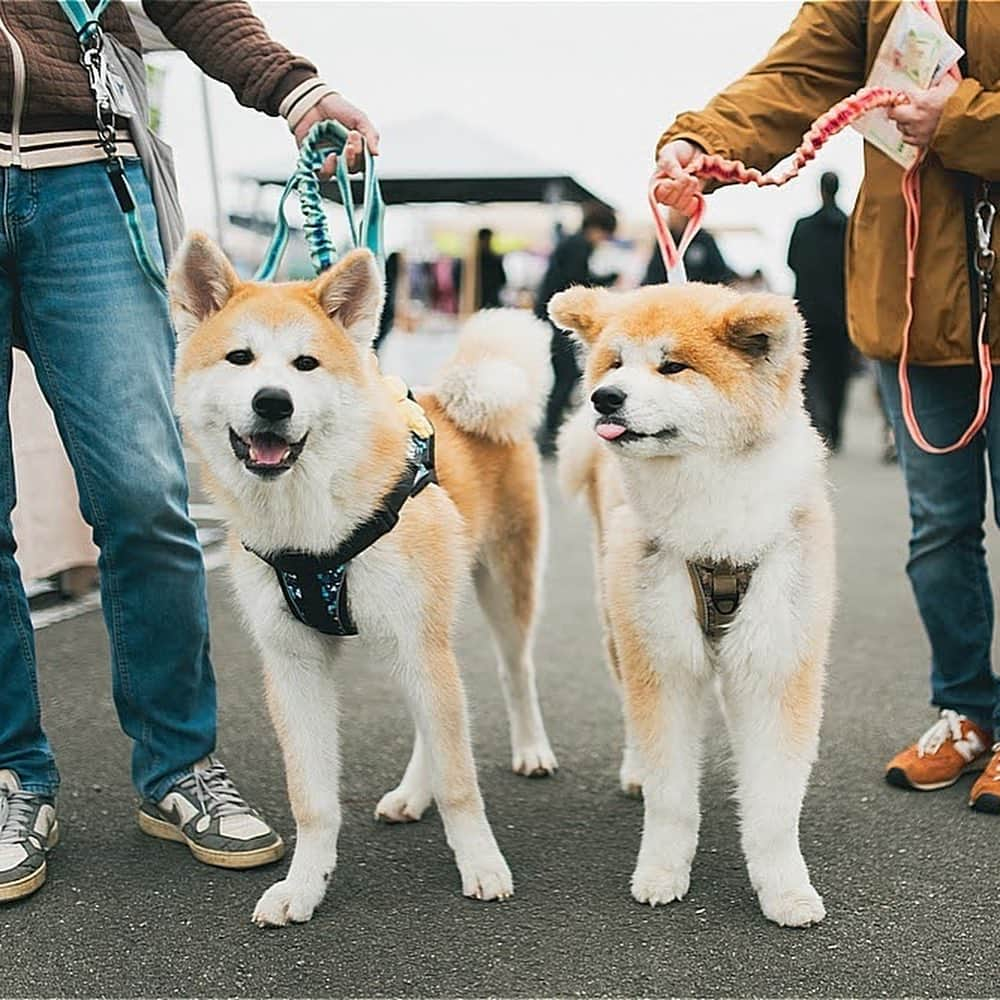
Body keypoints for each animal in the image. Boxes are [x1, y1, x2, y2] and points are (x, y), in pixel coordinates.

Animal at [168, 236, 556, 928]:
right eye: (240, 358)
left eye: (306, 364)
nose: (273, 402)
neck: (311, 527)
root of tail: (451, 399)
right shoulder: (294, 666)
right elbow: (312, 800)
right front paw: (304, 886)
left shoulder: (419, 643)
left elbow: (461, 783)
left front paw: (481, 864)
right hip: (416, 639)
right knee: (435, 720)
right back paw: (411, 793)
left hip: (491, 600)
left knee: (515, 673)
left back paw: (531, 750)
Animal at [552, 282, 832, 928]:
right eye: (614, 363)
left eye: (671, 366)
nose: (604, 398)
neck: (714, 521)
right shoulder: (663, 661)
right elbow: (671, 795)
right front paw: (661, 872)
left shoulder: (777, 662)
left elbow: (774, 807)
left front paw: (785, 889)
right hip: (620, 620)